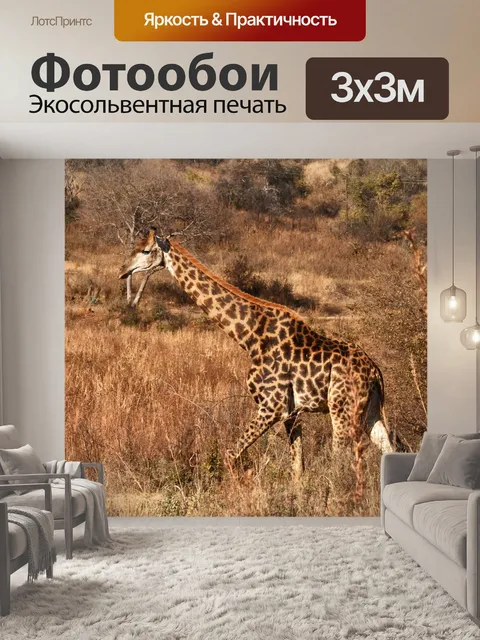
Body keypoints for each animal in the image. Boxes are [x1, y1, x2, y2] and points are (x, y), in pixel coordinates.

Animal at [119, 228, 404, 484]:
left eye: (146, 250)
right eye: (134, 247)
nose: (122, 271)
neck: (249, 337)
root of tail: (375, 373)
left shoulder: (271, 406)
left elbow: (230, 454)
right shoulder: (291, 412)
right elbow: (297, 468)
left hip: (341, 408)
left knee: (343, 460)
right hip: (370, 411)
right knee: (389, 449)